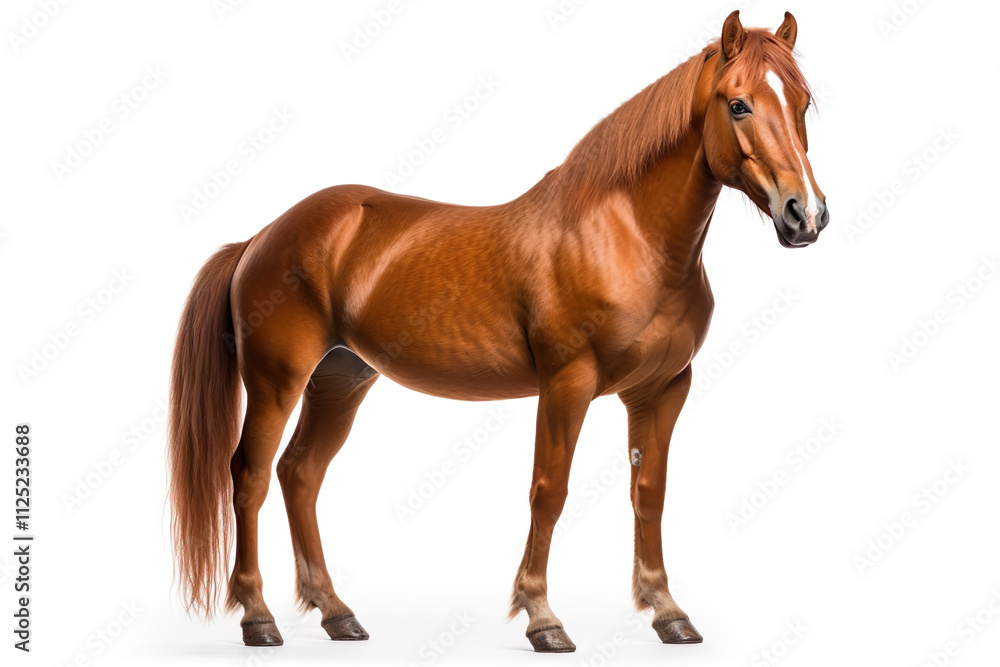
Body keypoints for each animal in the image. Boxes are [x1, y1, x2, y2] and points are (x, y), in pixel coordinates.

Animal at [168, 10, 827, 652]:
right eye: (737, 104)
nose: (806, 215)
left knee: (300, 475)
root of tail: (262, 236)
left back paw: (337, 614)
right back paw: (258, 618)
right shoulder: (567, 385)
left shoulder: (663, 390)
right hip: (277, 382)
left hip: (340, 379)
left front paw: (667, 611)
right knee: (250, 476)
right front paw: (542, 618)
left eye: (803, 102)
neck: (626, 236)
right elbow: (549, 491)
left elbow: (650, 493)